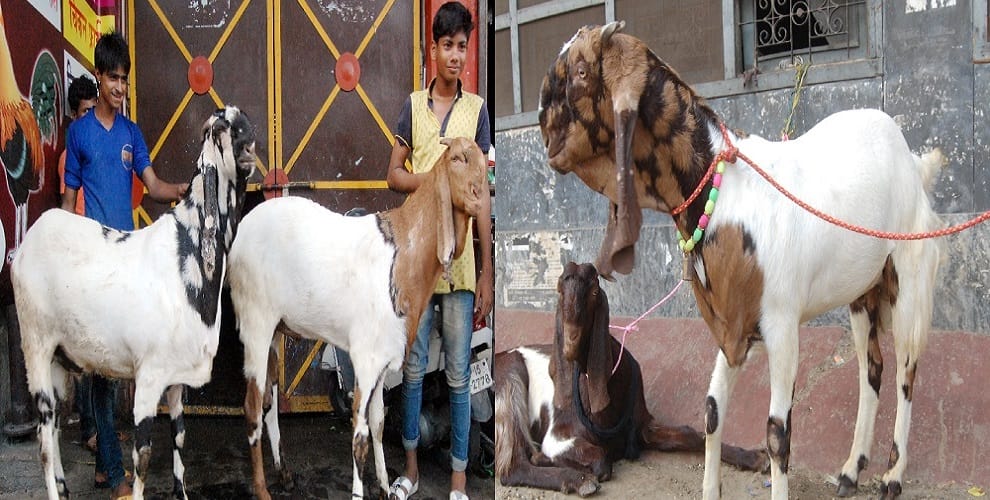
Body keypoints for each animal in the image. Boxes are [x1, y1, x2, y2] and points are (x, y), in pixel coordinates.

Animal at [12, 107, 256, 500]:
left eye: (245, 125)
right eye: (231, 130)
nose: (251, 155)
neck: (187, 252)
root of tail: (29, 241)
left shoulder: (175, 379)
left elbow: (180, 437)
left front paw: (181, 490)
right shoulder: (148, 376)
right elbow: (142, 455)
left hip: (60, 359)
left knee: (56, 427)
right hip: (35, 345)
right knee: (44, 439)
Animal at [226, 136, 489, 499]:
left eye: (483, 159)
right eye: (457, 159)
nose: (481, 200)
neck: (403, 253)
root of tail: (241, 233)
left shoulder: (383, 360)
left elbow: (378, 423)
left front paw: (384, 486)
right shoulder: (364, 359)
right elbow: (360, 436)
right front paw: (360, 490)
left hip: (276, 329)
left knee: (270, 398)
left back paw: (285, 473)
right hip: (256, 323)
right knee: (252, 407)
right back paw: (263, 490)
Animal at [495, 262, 768, 496]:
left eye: (594, 291)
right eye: (560, 293)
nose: (569, 347)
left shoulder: (641, 425)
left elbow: (690, 434)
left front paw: (754, 457)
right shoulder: (558, 436)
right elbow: (601, 461)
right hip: (510, 379)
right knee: (513, 467)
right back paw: (574, 479)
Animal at [538, 22, 944, 500]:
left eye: (581, 72)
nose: (543, 128)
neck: (726, 189)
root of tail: (915, 164)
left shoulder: (782, 324)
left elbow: (777, 433)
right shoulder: (729, 324)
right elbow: (712, 411)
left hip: (908, 277)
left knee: (906, 371)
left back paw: (892, 476)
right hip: (863, 293)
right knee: (871, 370)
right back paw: (850, 470)